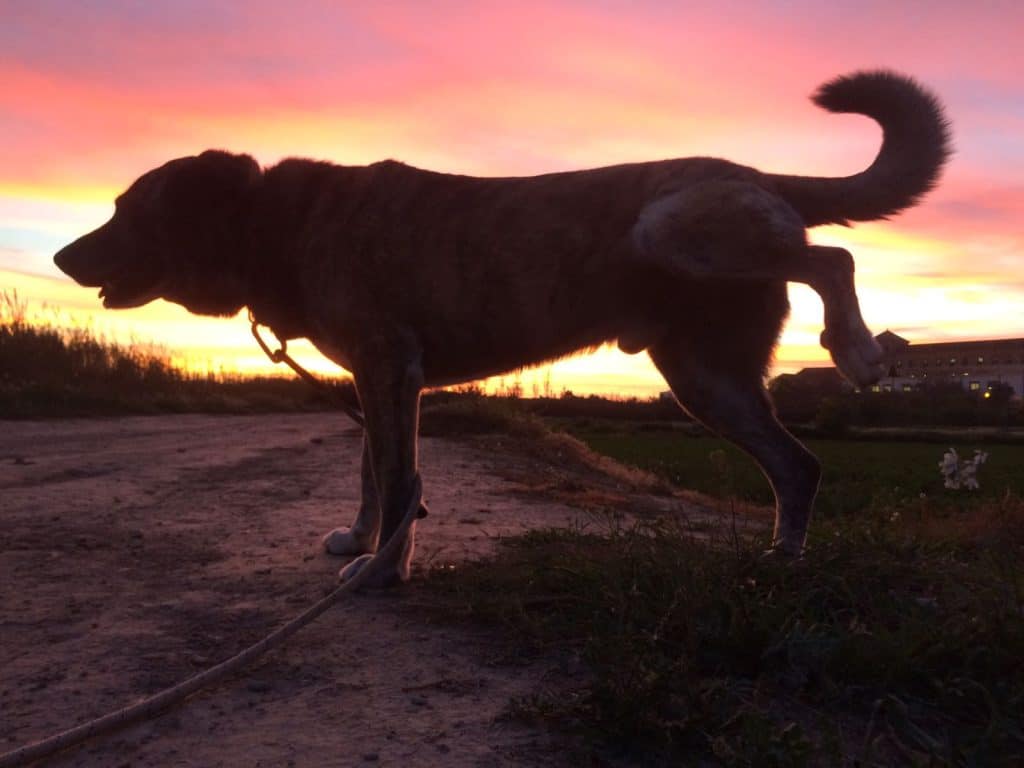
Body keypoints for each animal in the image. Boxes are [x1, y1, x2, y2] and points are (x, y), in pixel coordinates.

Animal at [58, 72, 950, 585]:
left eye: (126, 208)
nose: (64, 255)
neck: (280, 224)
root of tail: (759, 173)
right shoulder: (376, 382)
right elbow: (372, 475)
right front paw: (362, 541)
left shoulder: (389, 371)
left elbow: (398, 481)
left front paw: (382, 572)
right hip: (708, 378)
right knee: (799, 464)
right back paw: (784, 557)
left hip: (674, 234)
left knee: (831, 255)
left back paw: (861, 351)